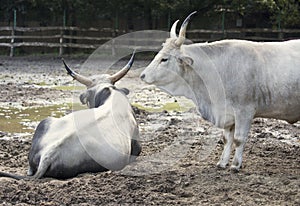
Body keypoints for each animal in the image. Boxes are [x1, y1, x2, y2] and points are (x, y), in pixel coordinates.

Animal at [140, 11, 300, 172]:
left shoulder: (245, 110)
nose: (143, 75)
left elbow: (238, 139)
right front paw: (222, 162)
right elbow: (226, 139)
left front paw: (235, 165)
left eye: (164, 59)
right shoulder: (227, 112)